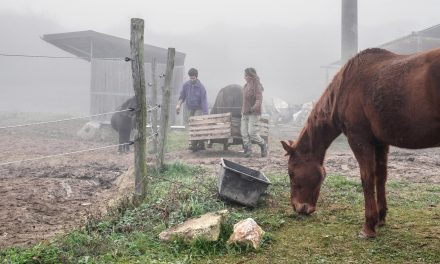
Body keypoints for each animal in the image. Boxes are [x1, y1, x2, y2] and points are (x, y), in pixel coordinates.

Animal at [282, 47, 440, 237]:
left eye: (291, 173)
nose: (298, 208)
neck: (345, 87)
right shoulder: (380, 143)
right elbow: (381, 177)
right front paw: (381, 217)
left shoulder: (359, 140)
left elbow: (367, 178)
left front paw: (369, 226)